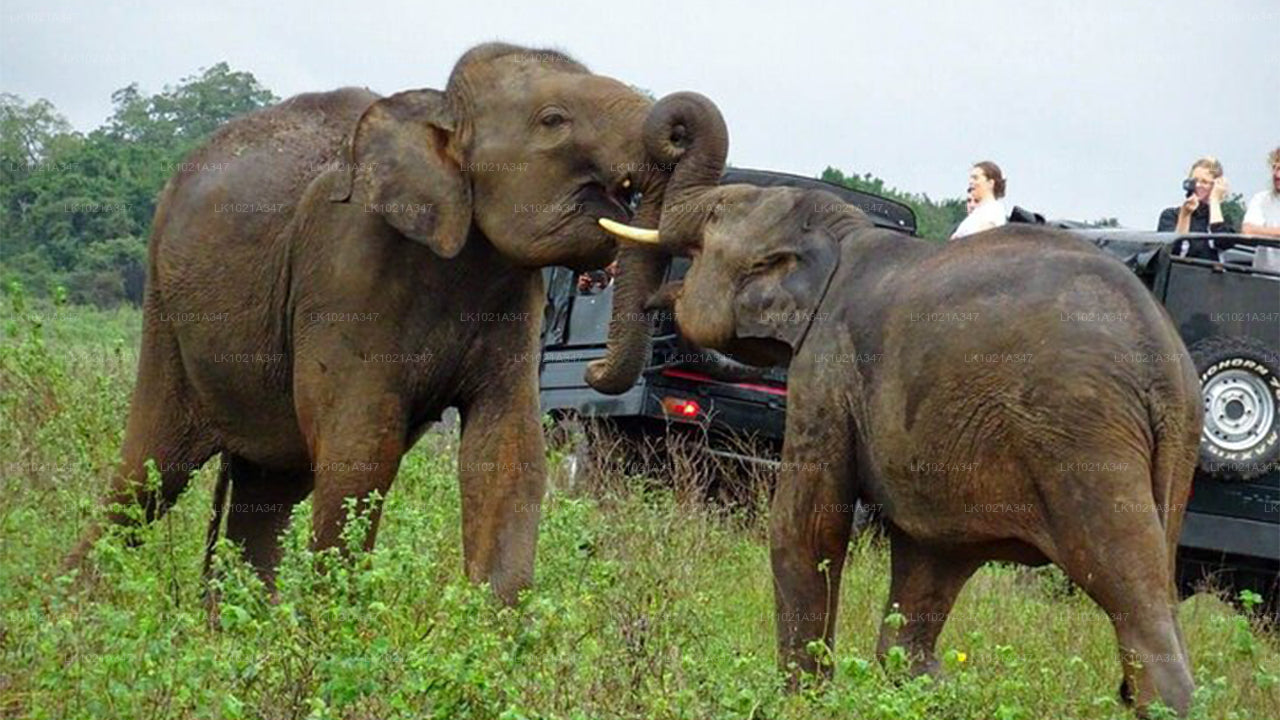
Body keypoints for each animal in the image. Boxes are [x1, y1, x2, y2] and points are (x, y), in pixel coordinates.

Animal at [63, 44, 675, 602]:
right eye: (553, 120)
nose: (592, 369)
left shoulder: (513, 297)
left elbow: (507, 449)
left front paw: (495, 634)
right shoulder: (346, 265)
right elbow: (363, 442)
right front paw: (336, 630)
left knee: (270, 485)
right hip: (166, 316)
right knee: (147, 476)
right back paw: (72, 608)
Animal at [593, 94, 1203, 712]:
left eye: (715, 217)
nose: (593, 369)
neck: (840, 232)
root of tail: (1160, 361)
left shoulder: (826, 366)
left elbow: (807, 523)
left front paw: (802, 700)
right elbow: (922, 562)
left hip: (1082, 436)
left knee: (1132, 595)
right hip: (1177, 452)